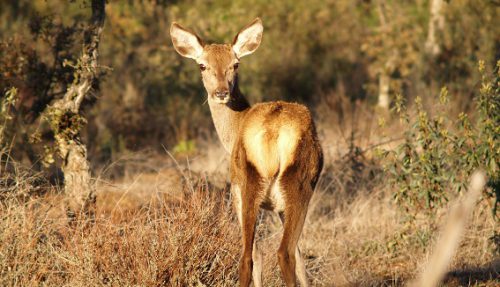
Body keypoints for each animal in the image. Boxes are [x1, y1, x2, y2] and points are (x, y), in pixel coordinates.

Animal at [170, 18, 322, 287]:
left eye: (235, 64)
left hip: (254, 184)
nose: (221, 92)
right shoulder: (278, 207)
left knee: (259, 255)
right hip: (289, 189)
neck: (231, 133)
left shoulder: (237, 191)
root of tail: (272, 133)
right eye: (202, 65)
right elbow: (301, 258)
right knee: (284, 252)